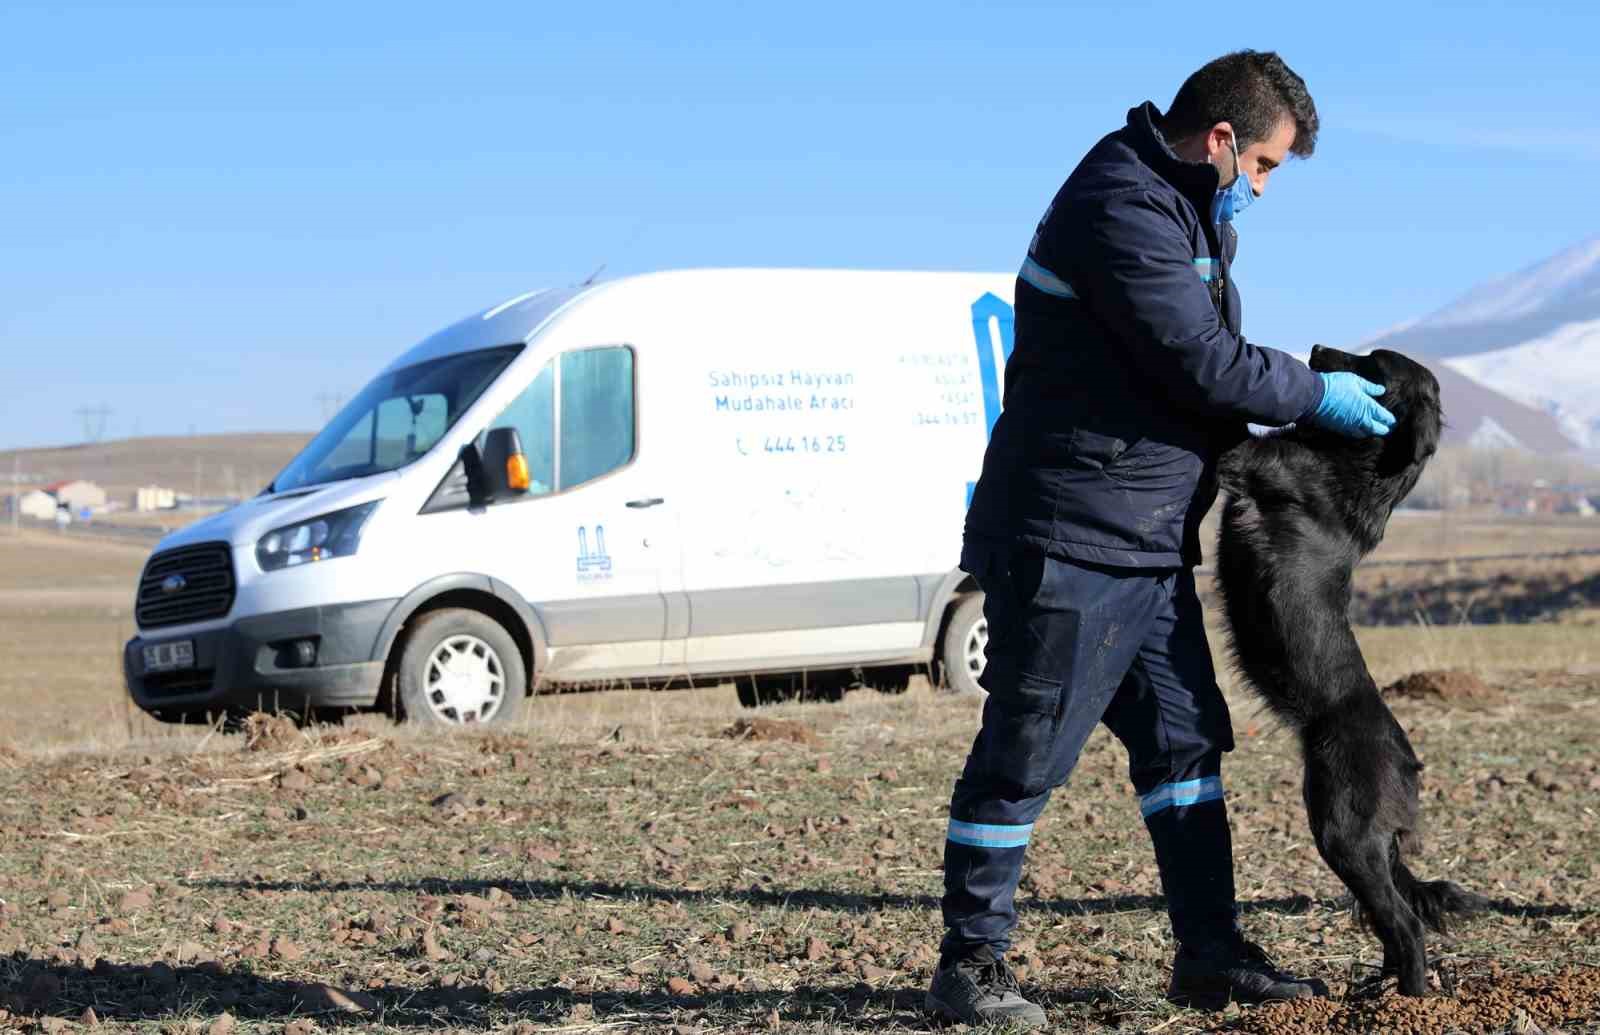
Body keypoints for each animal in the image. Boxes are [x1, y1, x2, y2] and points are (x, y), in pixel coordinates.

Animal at [1209, 345, 1484, 998]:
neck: (1360, 465)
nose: (1313, 352)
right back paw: (1377, 988)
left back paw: (1406, 1002)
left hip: (1343, 834)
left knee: (1407, 925)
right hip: (1365, 842)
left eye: (1374, 362)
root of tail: (1407, 764)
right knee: (1395, 923)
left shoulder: (1246, 459)